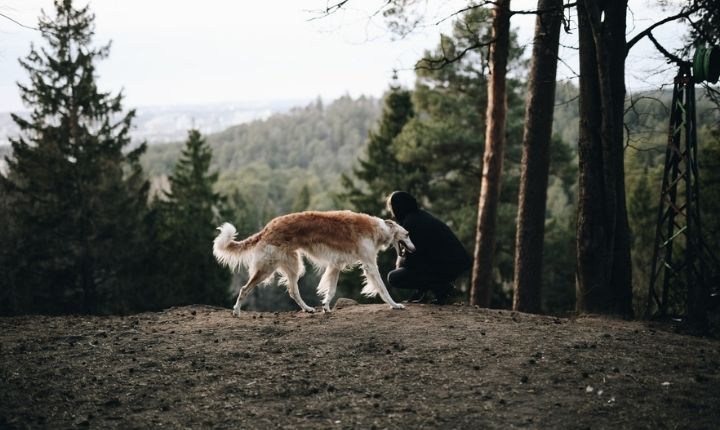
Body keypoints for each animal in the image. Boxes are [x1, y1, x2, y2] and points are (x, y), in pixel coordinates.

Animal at [212, 210, 416, 314]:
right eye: (407, 234)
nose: (414, 249)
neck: (379, 228)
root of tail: (268, 227)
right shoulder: (369, 264)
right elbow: (382, 288)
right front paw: (395, 305)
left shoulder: (335, 265)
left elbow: (331, 290)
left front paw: (325, 307)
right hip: (267, 267)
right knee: (244, 289)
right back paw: (236, 310)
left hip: (293, 266)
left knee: (293, 291)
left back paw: (308, 309)